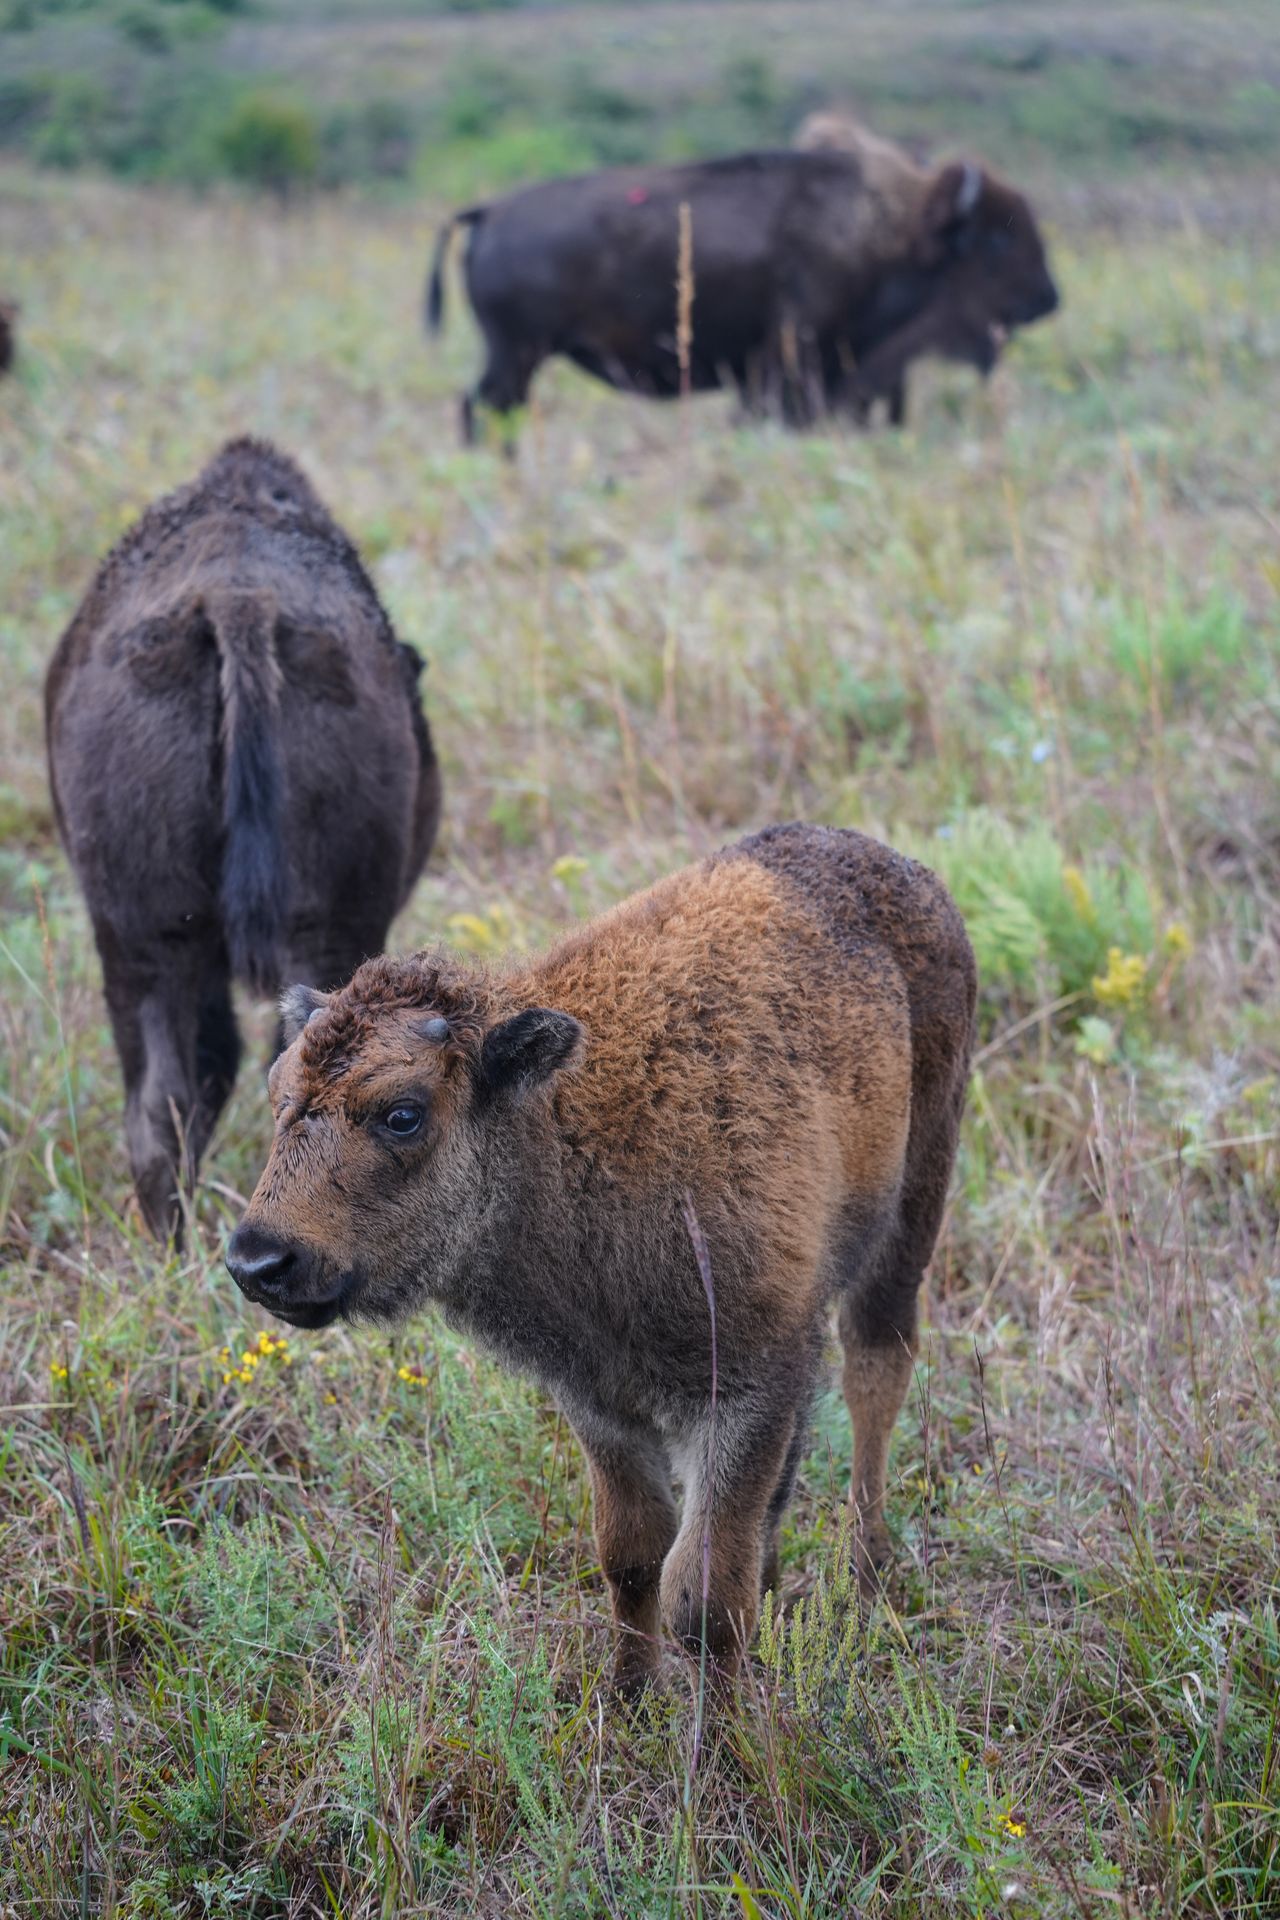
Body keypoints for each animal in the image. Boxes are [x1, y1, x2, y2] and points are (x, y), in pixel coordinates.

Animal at [426, 147, 1058, 441]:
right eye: (997, 239)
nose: (1048, 299)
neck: (892, 228)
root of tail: (488, 211)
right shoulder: (790, 357)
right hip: (517, 354)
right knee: (482, 409)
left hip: (518, 357)